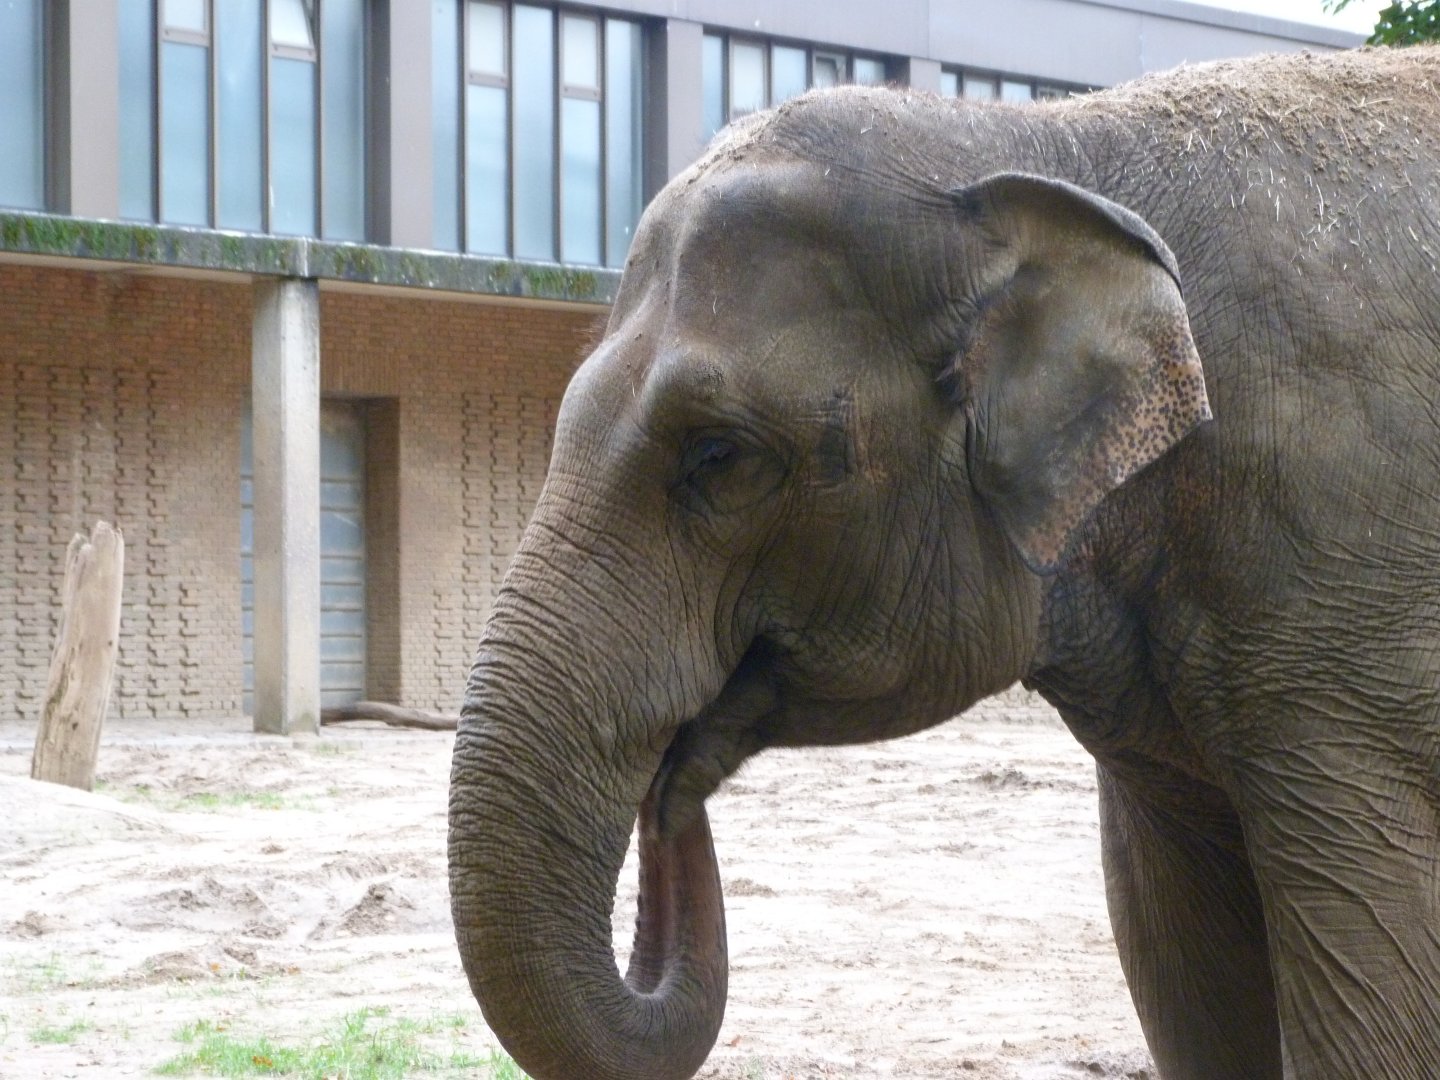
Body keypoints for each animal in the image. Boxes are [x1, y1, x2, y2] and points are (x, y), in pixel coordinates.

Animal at [448, 45, 1440, 1080]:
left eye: (718, 454)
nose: (670, 786)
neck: (1036, 147)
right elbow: (1189, 971)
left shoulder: (1343, 602)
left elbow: (1373, 990)